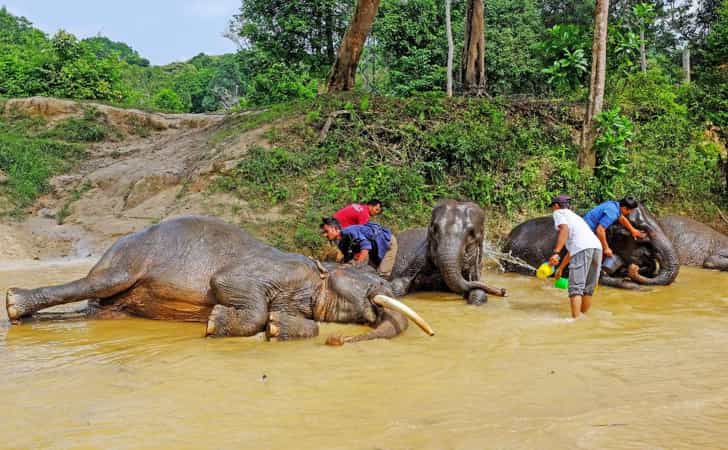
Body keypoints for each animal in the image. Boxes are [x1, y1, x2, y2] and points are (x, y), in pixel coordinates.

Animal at [5, 215, 432, 344]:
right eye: (368, 280)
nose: (338, 342)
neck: (318, 272)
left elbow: (294, 320)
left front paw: (277, 328)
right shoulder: (269, 271)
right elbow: (229, 284)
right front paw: (215, 322)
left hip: (116, 303)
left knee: (100, 310)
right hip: (126, 262)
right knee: (98, 283)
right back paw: (14, 306)